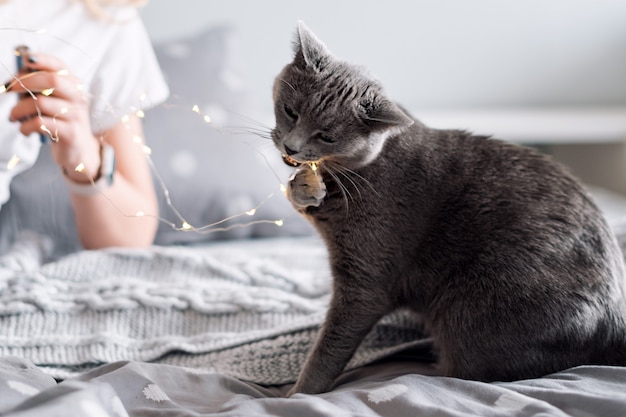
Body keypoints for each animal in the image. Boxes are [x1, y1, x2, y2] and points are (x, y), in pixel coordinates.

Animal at [270, 22, 624, 394]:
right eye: (291, 111)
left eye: (326, 136)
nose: (291, 147)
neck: (358, 170)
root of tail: (616, 326)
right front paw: (302, 188)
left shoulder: (366, 280)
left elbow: (328, 350)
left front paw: (296, 394)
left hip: (473, 311)